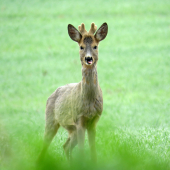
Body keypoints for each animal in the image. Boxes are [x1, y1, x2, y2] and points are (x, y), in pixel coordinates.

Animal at [37, 21, 108, 163]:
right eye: (81, 47)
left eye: (95, 46)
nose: (88, 58)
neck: (89, 101)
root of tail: (51, 95)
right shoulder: (79, 118)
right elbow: (81, 150)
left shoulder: (94, 120)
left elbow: (93, 150)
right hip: (51, 119)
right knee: (45, 144)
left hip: (71, 129)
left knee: (66, 146)